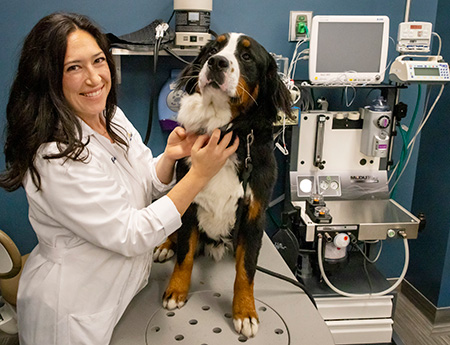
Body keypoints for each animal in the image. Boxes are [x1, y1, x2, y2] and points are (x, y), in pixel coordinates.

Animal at [155, 31, 294, 336]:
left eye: (246, 56)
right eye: (212, 50)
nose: (216, 62)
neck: (225, 132)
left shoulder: (254, 214)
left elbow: (246, 271)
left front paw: (245, 312)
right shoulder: (189, 205)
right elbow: (185, 255)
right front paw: (176, 291)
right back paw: (164, 246)